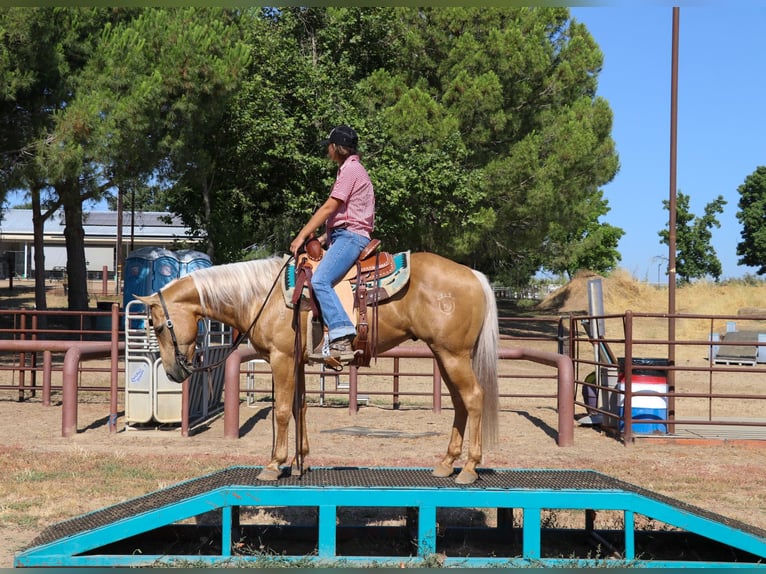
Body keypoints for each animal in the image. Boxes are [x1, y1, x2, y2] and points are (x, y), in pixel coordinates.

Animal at [137, 251, 499, 484]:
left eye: (159, 326)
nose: (173, 373)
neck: (261, 296)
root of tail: (474, 276)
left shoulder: (282, 358)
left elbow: (283, 411)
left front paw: (274, 464)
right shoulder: (295, 361)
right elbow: (300, 408)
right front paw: (300, 462)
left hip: (453, 355)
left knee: (474, 398)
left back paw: (469, 468)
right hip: (444, 354)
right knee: (460, 404)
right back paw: (446, 464)